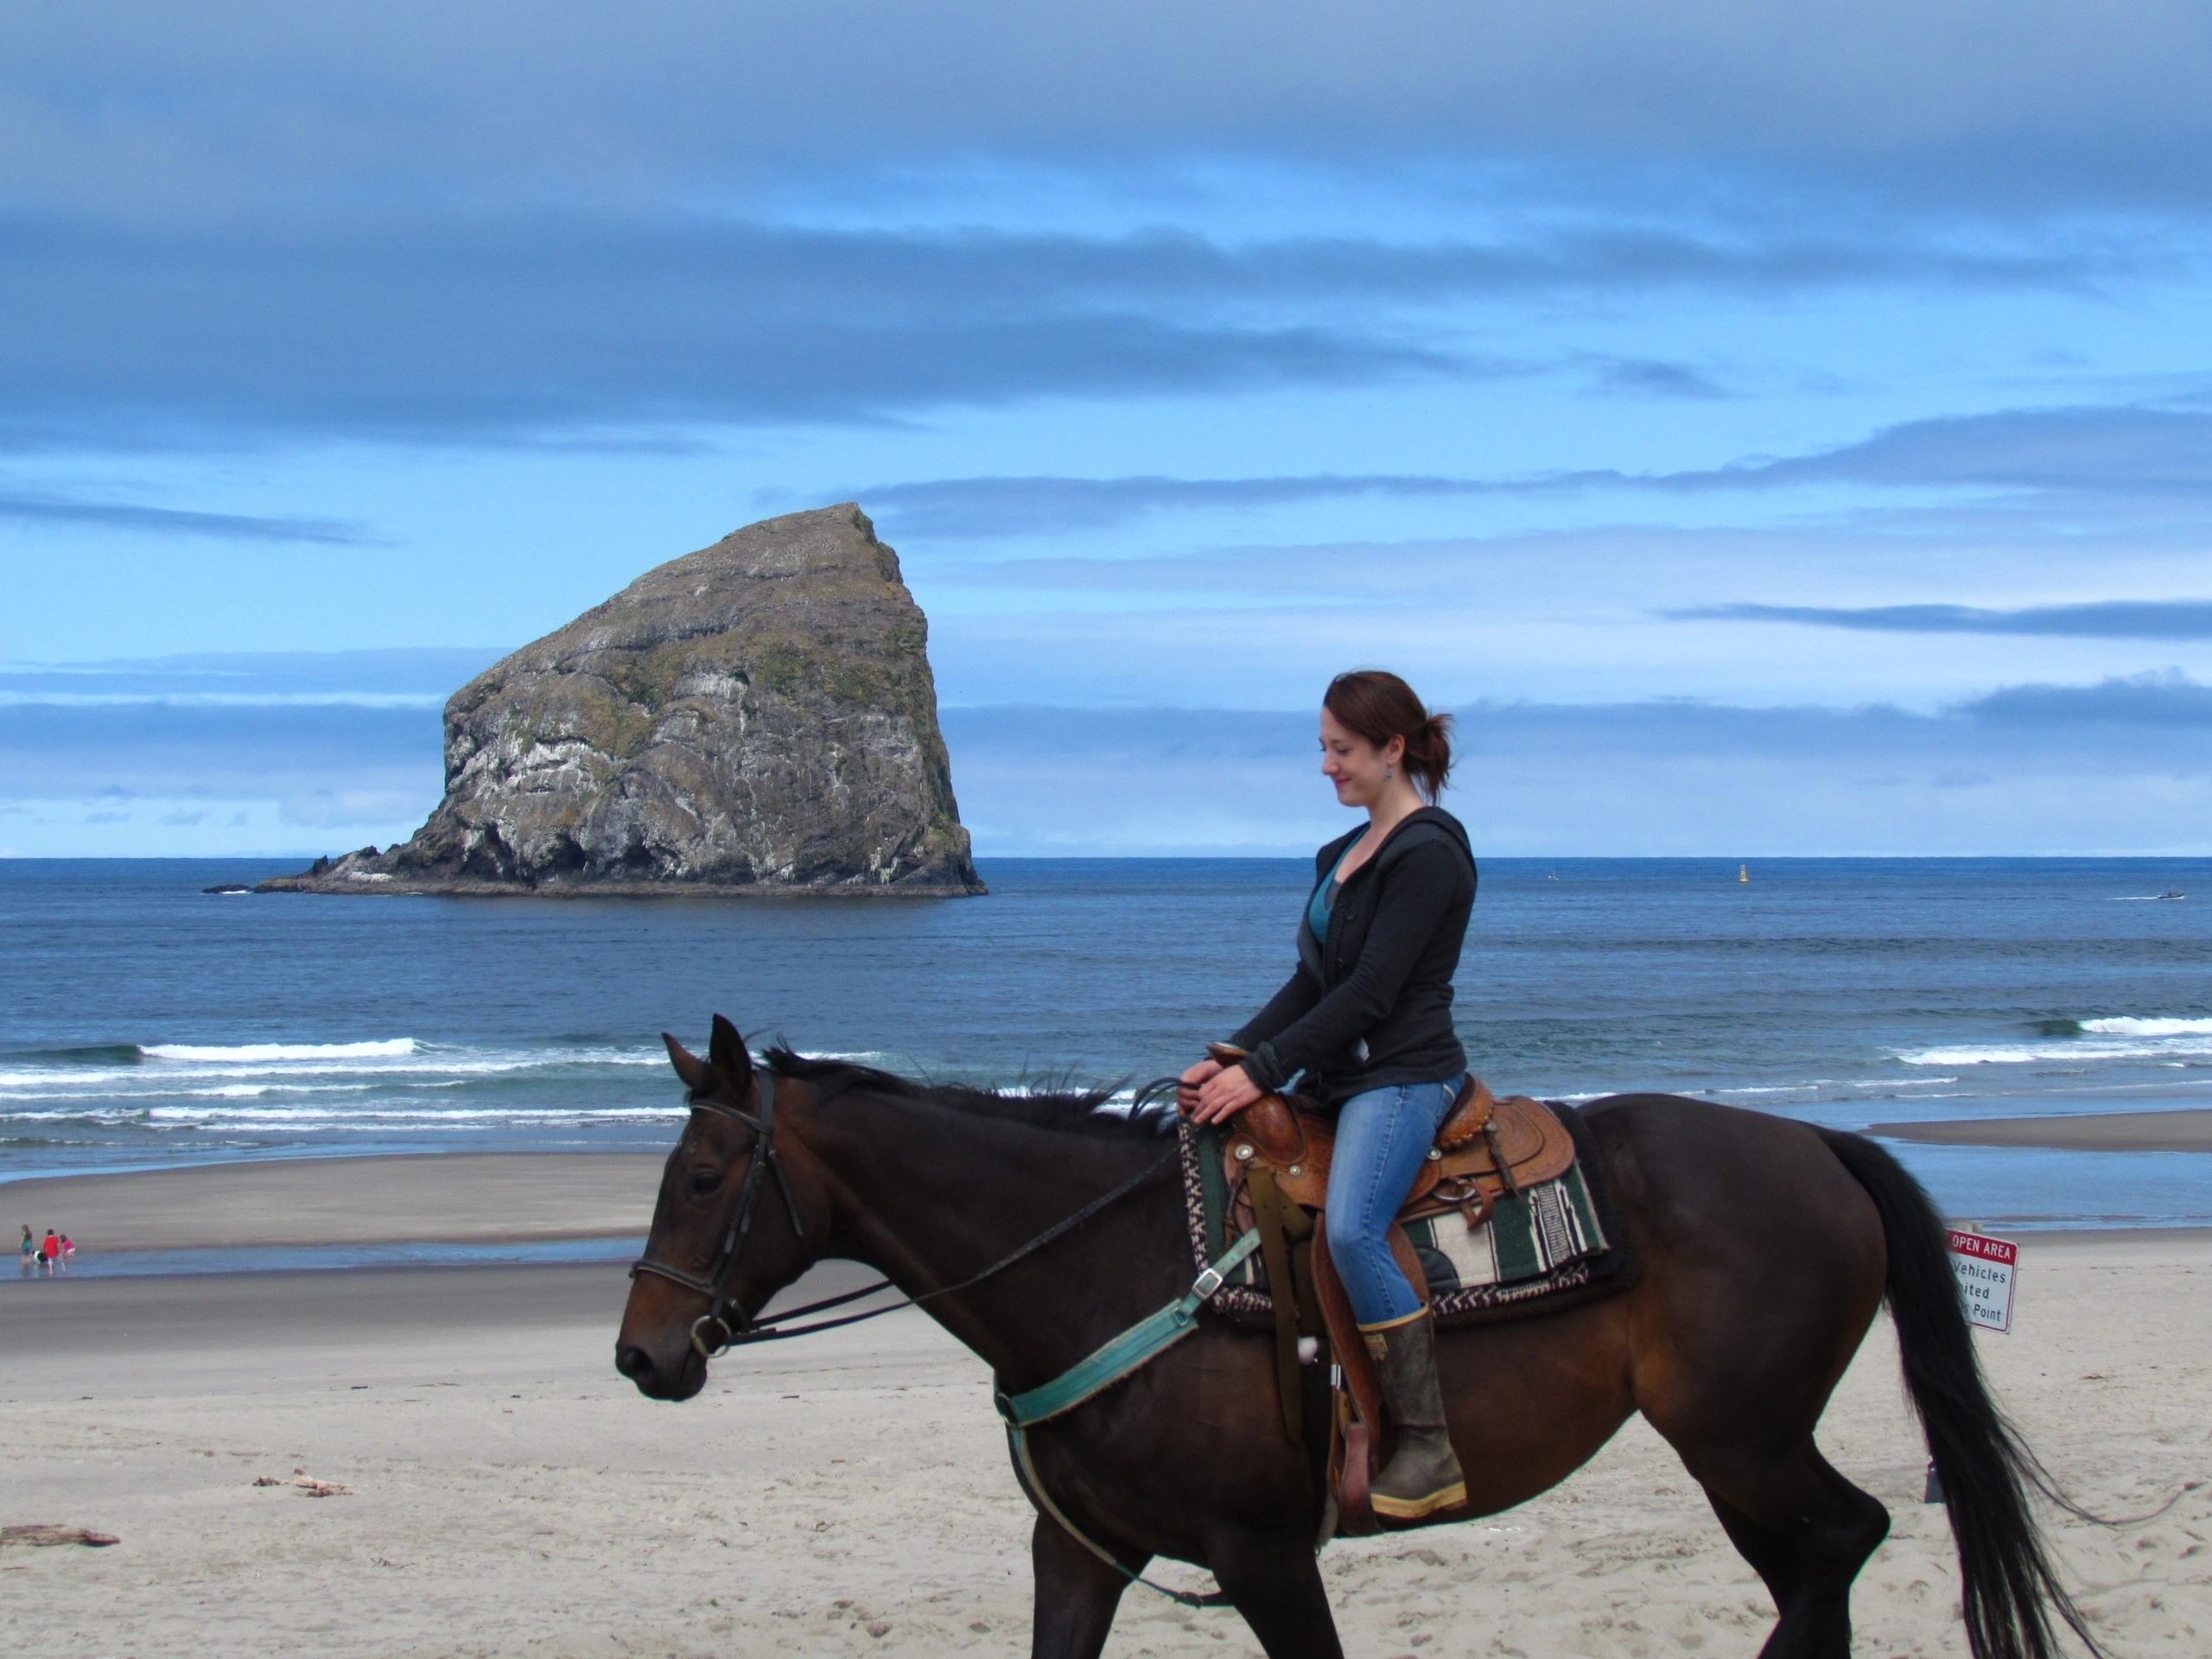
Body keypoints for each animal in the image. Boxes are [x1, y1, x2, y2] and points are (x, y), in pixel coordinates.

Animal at [614, 1013, 2096, 1659]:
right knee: (1817, 1571)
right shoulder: (1079, 1554)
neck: (1103, 1269)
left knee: (1842, 1547)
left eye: (705, 1178)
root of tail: (1821, 1150)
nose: (643, 1354)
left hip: (1745, 1438)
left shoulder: (1264, 1556)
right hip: (1734, 1452)